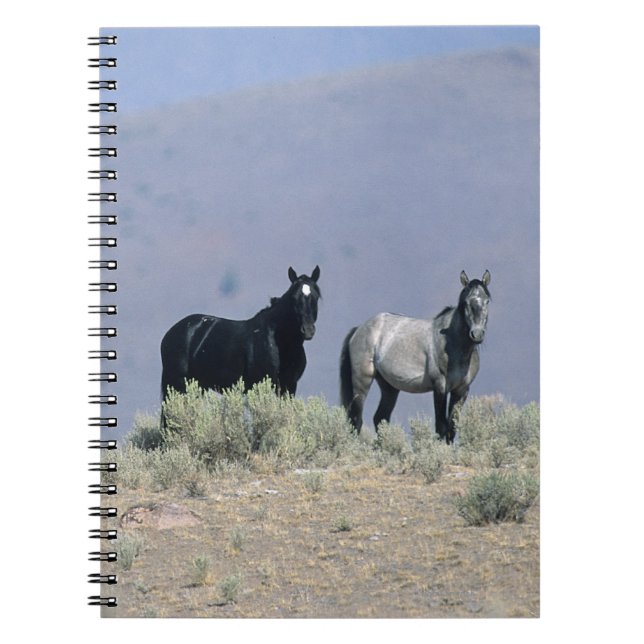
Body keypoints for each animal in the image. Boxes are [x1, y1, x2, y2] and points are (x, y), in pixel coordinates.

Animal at [160, 266, 321, 412]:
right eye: (294, 298)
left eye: (316, 297)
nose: (308, 330)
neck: (278, 342)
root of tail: (169, 334)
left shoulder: (289, 386)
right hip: (177, 384)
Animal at [340, 270, 491, 443]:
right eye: (466, 302)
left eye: (487, 301)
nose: (477, 334)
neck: (453, 344)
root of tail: (359, 329)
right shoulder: (440, 387)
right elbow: (441, 427)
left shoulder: (461, 391)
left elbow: (451, 430)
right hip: (362, 382)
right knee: (356, 420)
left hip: (389, 387)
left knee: (380, 418)